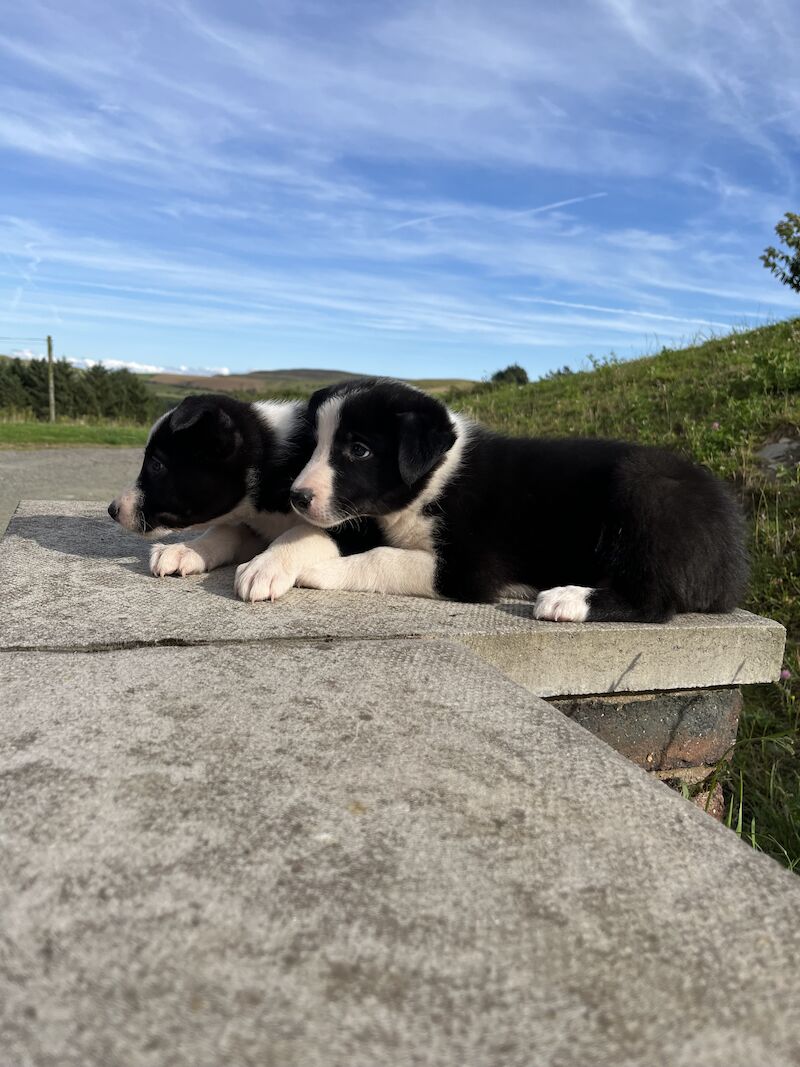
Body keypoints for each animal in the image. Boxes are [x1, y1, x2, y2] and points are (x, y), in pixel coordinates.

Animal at [108, 396, 381, 606]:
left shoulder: (359, 522)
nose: (112, 510)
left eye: (156, 465)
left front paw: (266, 566)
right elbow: (225, 531)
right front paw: (185, 549)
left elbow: (304, 531)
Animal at [285, 377, 750, 623]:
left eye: (358, 450)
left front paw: (318, 572)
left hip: (645, 490)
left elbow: (383, 557)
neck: (437, 476)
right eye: (314, 444)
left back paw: (567, 599)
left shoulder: (468, 569)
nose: (297, 497)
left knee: (654, 600)